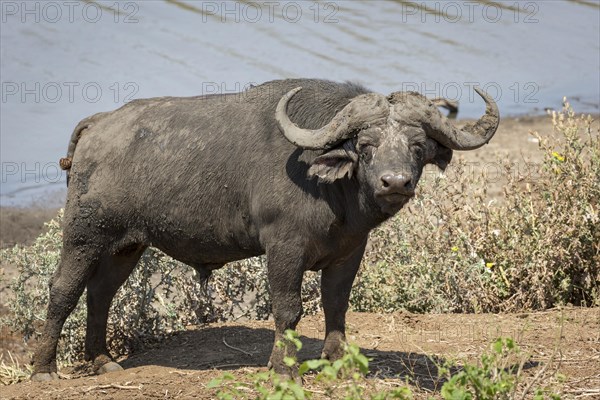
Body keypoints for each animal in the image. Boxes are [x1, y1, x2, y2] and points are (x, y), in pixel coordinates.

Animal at [30, 78, 500, 382]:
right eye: (365, 146)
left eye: (418, 147)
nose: (395, 182)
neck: (329, 190)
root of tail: (100, 122)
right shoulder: (283, 248)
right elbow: (288, 309)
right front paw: (283, 369)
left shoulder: (350, 251)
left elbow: (336, 305)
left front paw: (337, 361)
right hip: (84, 235)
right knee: (64, 289)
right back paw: (44, 369)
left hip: (126, 245)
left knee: (101, 293)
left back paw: (102, 360)